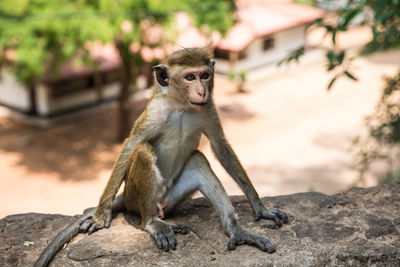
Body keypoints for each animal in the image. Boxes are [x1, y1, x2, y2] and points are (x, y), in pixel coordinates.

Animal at [35, 46, 288, 267]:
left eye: (205, 75)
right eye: (189, 77)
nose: (202, 90)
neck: (182, 105)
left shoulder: (208, 109)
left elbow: (220, 147)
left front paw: (260, 207)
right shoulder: (155, 111)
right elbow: (130, 146)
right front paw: (100, 215)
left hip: (173, 197)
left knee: (198, 160)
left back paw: (237, 231)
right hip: (136, 199)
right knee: (143, 151)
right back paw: (152, 223)